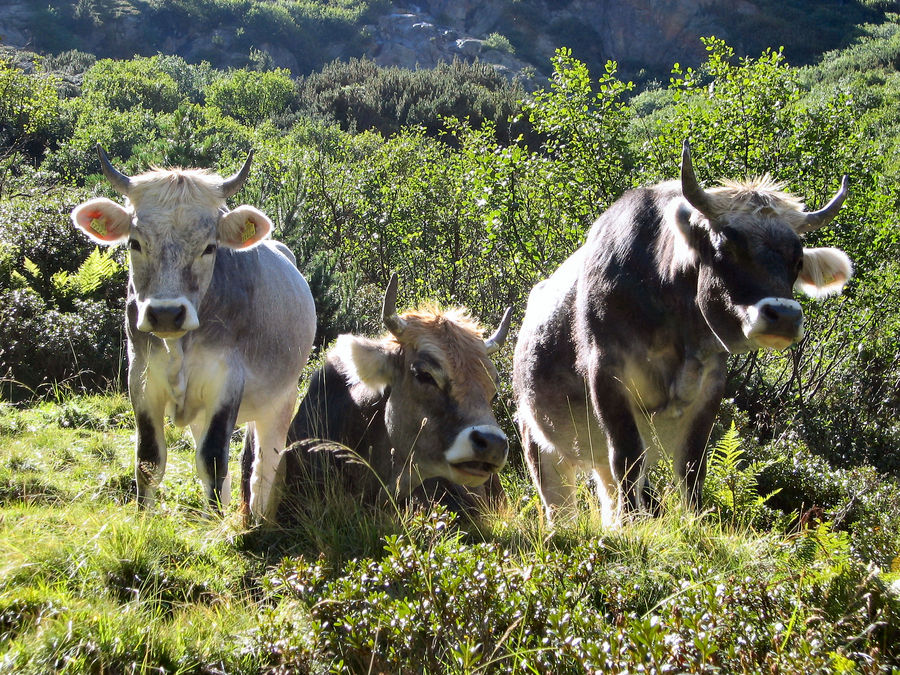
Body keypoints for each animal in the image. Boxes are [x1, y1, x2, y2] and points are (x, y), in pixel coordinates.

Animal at [71, 145, 316, 520]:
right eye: (135, 243)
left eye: (209, 247)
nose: (166, 313)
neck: (180, 346)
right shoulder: (141, 379)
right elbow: (150, 460)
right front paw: (146, 521)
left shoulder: (225, 383)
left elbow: (214, 460)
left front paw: (215, 527)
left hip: (280, 401)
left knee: (263, 468)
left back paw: (259, 519)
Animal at [512, 140, 852, 524]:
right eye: (725, 247)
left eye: (797, 260)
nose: (783, 315)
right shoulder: (606, 374)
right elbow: (628, 456)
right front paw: (634, 525)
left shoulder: (711, 387)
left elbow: (692, 466)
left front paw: (693, 521)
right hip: (538, 440)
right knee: (562, 501)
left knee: (608, 486)